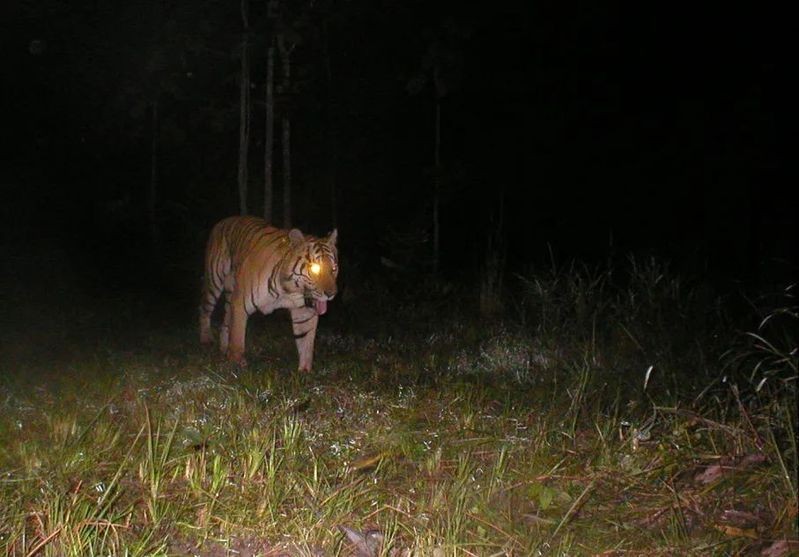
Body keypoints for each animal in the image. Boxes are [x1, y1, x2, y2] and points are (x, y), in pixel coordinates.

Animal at [199, 215, 338, 371]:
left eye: (334, 268)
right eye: (314, 268)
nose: (331, 294)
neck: (289, 289)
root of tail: (224, 221)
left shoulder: (304, 312)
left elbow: (306, 342)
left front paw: (305, 371)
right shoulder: (240, 303)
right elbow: (238, 337)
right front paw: (236, 365)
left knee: (226, 322)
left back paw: (223, 348)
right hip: (214, 281)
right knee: (204, 309)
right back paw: (206, 340)